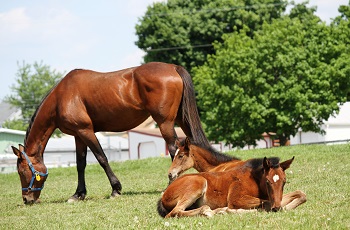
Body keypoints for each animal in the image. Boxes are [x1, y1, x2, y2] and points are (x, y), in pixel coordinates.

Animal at [10, 62, 209, 204]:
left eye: (22, 171)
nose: (26, 199)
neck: (61, 97)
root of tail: (172, 67)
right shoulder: (78, 135)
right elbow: (80, 164)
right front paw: (78, 194)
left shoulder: (86, 131)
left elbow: (102, 158)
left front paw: (115, 189)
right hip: (181, 118)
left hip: (164, 123)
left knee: (175, 149)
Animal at [158, 155, 304, 217]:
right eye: (268, 181)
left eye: (284, 181)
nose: (277, 208)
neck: (254, 180)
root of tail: (164, 194)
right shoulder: (236, 199)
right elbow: (266, 203)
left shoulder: (275, 198)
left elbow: (301, 193)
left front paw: (286, 207)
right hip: (198, 183)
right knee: (174, 212)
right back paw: (211, 211)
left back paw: (220, 211)